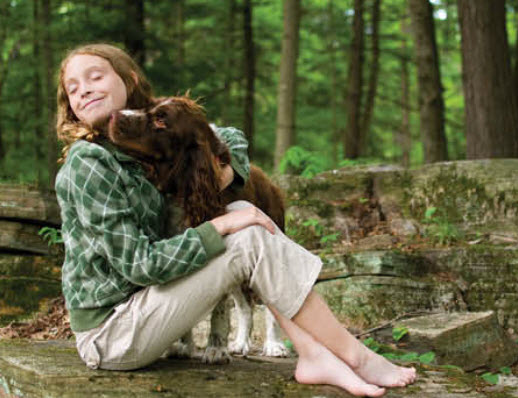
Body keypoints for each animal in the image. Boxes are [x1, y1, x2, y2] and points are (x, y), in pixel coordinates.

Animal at [107, 96, 290, 364]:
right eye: (148, 106)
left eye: (161, 119)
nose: (113, 115)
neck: (183, 189)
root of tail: (271, 183)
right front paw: (184, 345)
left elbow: (219, 310)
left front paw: (216, 349)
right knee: (245, 306)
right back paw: (240, 343)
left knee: (268, 306)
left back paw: (273, 345)